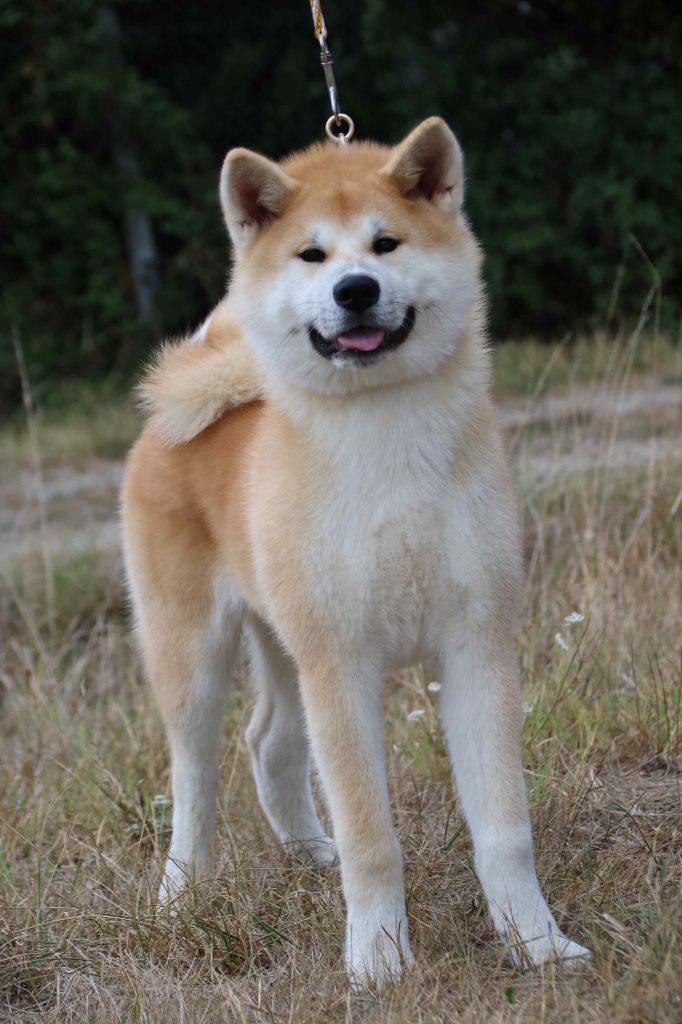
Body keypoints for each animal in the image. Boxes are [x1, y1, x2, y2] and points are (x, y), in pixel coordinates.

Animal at [122, 116, 589, 987]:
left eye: (386, 244)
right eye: (312, 256)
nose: (356, 291)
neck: (385, 437)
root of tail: (177, 409)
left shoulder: (476, 647)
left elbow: (505, 830)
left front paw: (537, 943)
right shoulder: (340, 664)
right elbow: (373, 840)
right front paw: (379, 959)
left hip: (282, 644)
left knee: (269, 744)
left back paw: (311, 853)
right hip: (194, 652)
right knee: (195, 779)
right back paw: (181, 894)